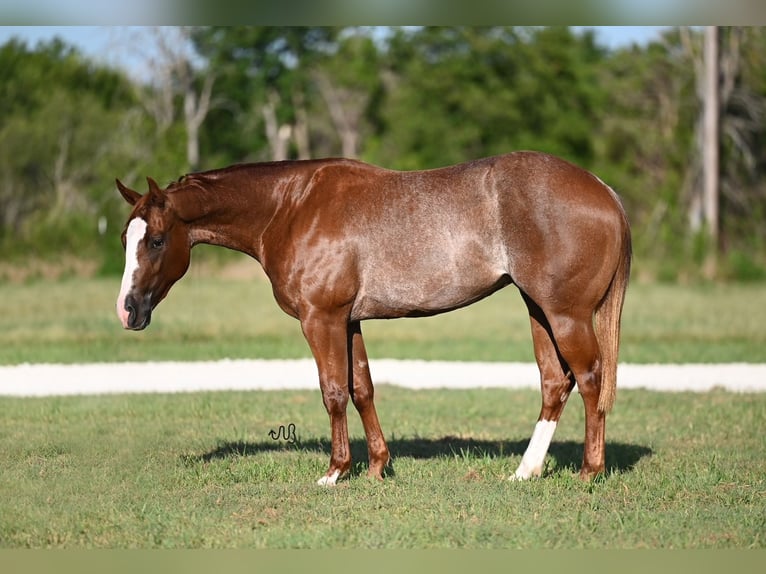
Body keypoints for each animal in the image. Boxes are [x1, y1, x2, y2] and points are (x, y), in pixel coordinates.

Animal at [114, 152, 632, 486]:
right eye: (125, 237)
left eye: (156, 240)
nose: (128, 310)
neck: (291, 206)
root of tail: (604, 190)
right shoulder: (348, 321)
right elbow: (362, 388)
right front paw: (379, 467)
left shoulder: (320, 319)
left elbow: (333, 392)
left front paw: (335, 471)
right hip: (538, 311)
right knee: (555, 383)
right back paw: (525, 471)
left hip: (565, 316)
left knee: (590, 379)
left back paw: (589, 472)